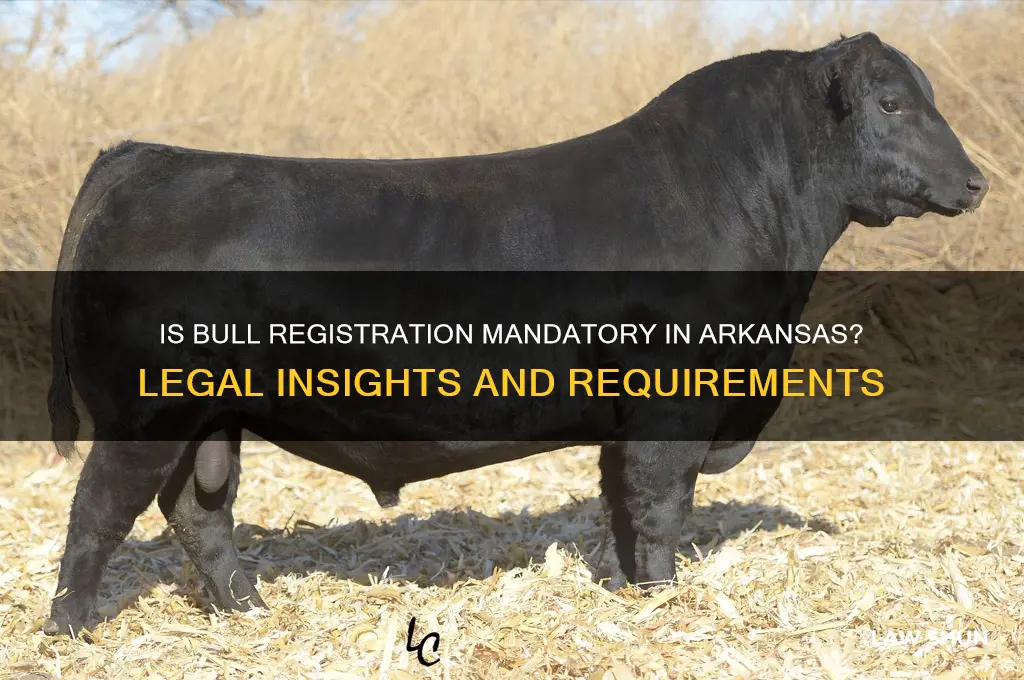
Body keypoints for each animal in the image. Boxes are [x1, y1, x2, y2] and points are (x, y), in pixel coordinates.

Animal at [44, 32, 987, 637]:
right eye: (892, 103)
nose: (976, 181)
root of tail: (147, 155)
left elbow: (621, 504)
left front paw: (629, 590)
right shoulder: (672, 405)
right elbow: (660, 503)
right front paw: (663, 599)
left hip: (210, 417)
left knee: (197, 512)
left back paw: (247, 609)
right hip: (146, 412)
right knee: (99, 508)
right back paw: (73, 631)